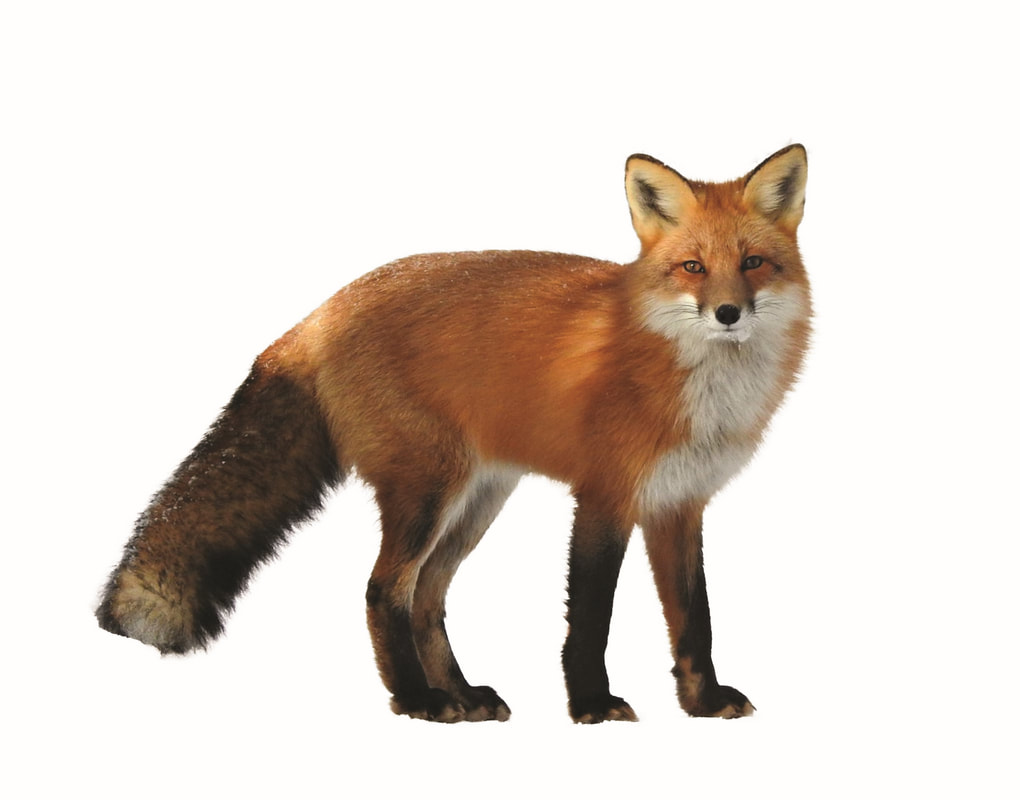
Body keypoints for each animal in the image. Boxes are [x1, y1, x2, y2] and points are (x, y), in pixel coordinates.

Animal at [97, 144, 811, 724]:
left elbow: (695, 619)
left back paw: (461, 695)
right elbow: (591, 618)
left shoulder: (678, 504)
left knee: (426, 597)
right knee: (384, 590)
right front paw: (591, 705)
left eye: (753, 263)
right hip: (428, 492)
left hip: (476, 500)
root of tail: (320, 313)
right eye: (693, 267)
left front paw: (703, 703)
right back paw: (419, 700)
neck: (694, 384)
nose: (728, 313)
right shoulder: (605, 496)